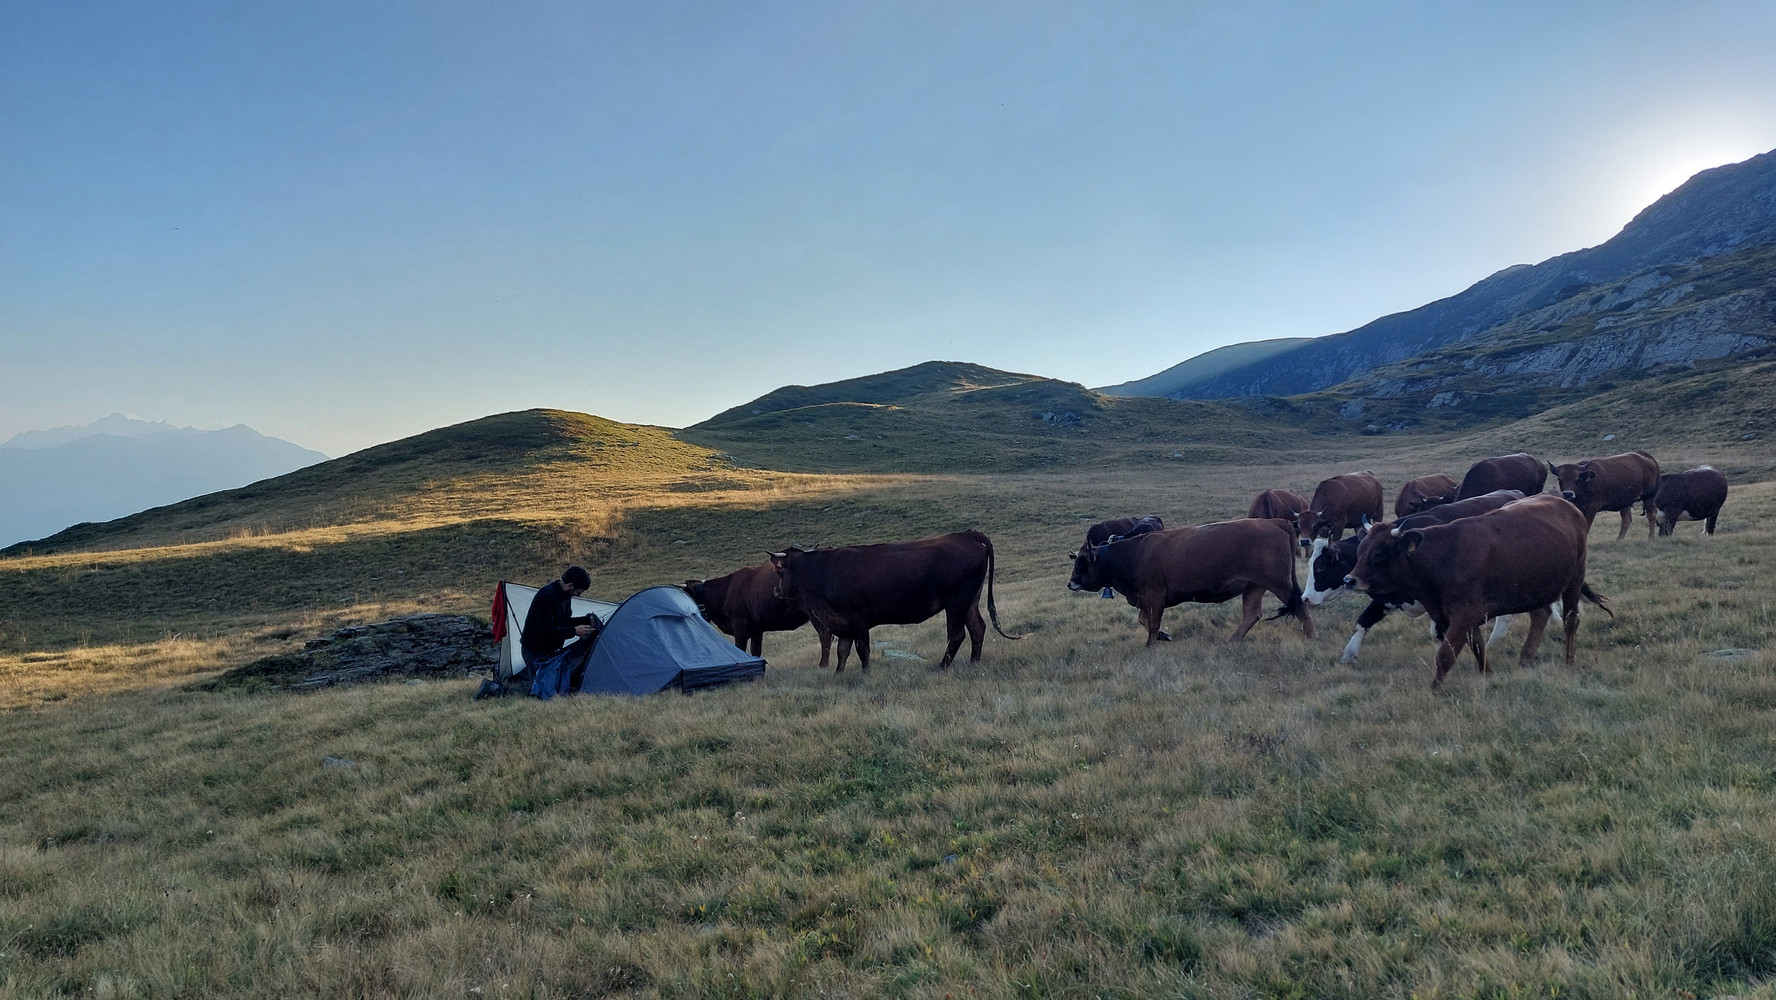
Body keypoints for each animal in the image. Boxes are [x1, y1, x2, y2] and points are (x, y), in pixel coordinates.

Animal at [685, 568, 838, 667]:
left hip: (815, 614)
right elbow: (756, 651)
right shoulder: (757, 630)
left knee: (825, 635)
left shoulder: (740, 627)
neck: (727, 590)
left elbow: (740, 648)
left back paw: (822, 665)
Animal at [763, 532, 1015, 671]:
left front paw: (866, 673)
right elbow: (842, 651)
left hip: (956, 603)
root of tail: (966, 534)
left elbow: (862, 649)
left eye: (779, 570)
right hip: (970, 601)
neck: (824, 572)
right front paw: (838, 674)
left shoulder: (858, 620)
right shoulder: (842, 622)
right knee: (977, 629)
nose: (776, 591)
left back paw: (941, 667)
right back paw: (974, 663)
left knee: (957, 635)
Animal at [1058, 522, 1314, 646]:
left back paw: (1311, 637)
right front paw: (1164, 636)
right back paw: (1231, 641)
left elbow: (1152, 623)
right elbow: (1144, 620)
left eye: (1082, 563)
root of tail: (1275, 523)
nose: (1071, 583)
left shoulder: (1155, 597)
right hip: (1254, 586)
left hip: (1279, 583)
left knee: (1300, 606)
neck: (1134, 554)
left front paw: (1151, 644)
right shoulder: (1144, 599)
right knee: (1251, 615)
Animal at [1342, 490, 1612, 689]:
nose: (1349, 580)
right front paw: (1488, 674)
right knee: (1540, 614)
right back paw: (1526, 656)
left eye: (1379, 555)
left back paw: (1569, 661)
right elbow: (1477, 647)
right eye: (1360, 550)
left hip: (1573, 581)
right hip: (1536, 587)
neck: (1442, 557)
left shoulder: (1465, 614)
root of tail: (1564, 503)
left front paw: (1435, 689)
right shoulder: (1460, 615)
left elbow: (1445, 655)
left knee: (1570, 621)